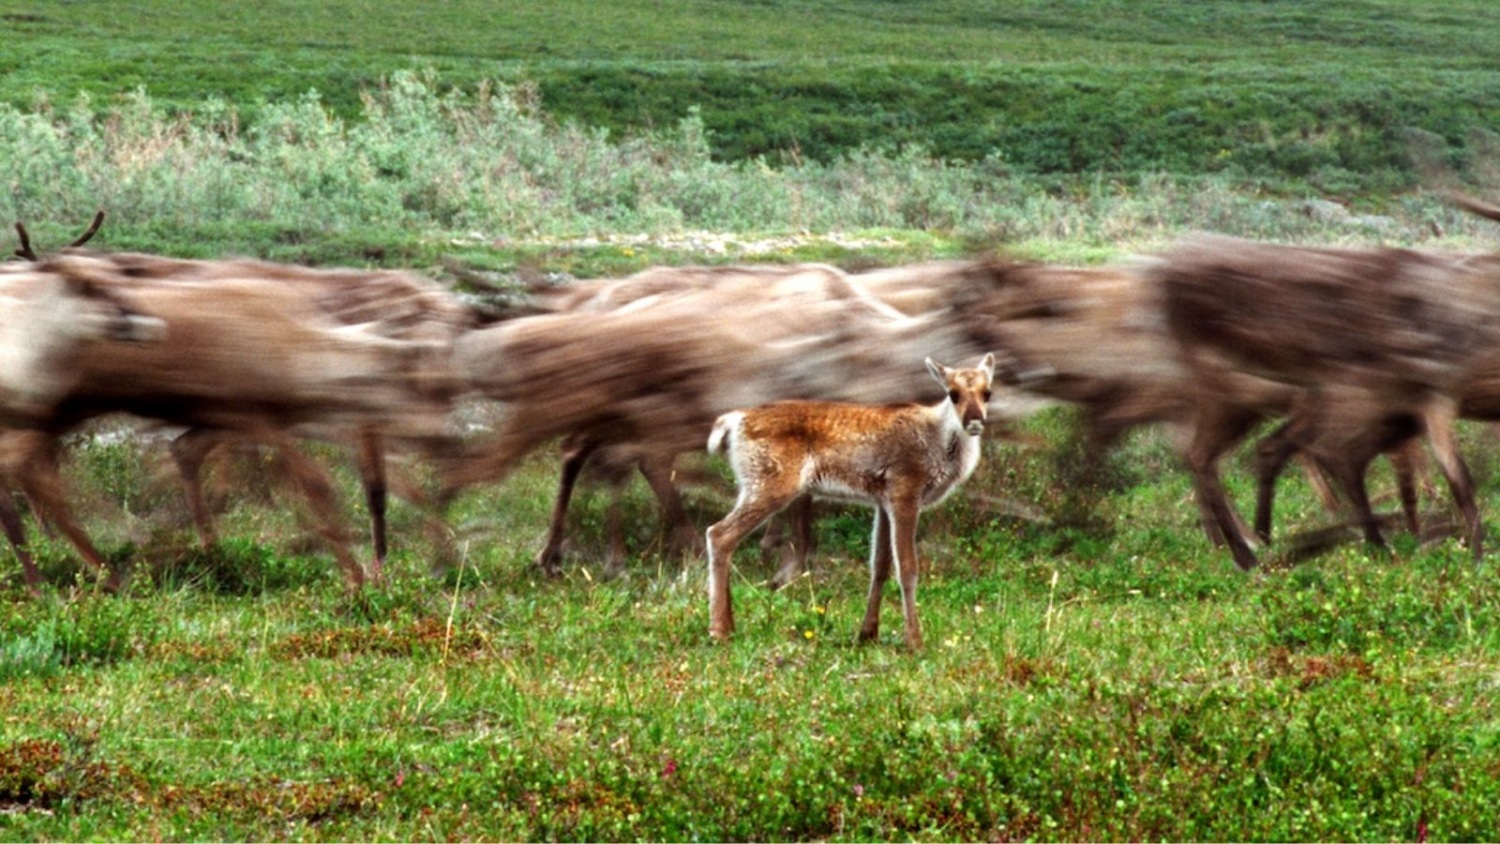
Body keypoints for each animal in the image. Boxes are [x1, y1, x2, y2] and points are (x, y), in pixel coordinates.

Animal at [705, 353, 1008, 650]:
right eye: (952, 393)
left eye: (988, 393)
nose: (975, 421)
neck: (940, 444)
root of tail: (733, 422)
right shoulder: (905, 489)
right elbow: (907, 568)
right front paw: (915, 641)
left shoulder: (883, 501)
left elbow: (880, 566)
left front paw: (868, 632)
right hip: (769, 483)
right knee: (719, 534)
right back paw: (719, 630)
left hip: (755, 484)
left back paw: (729, 624)